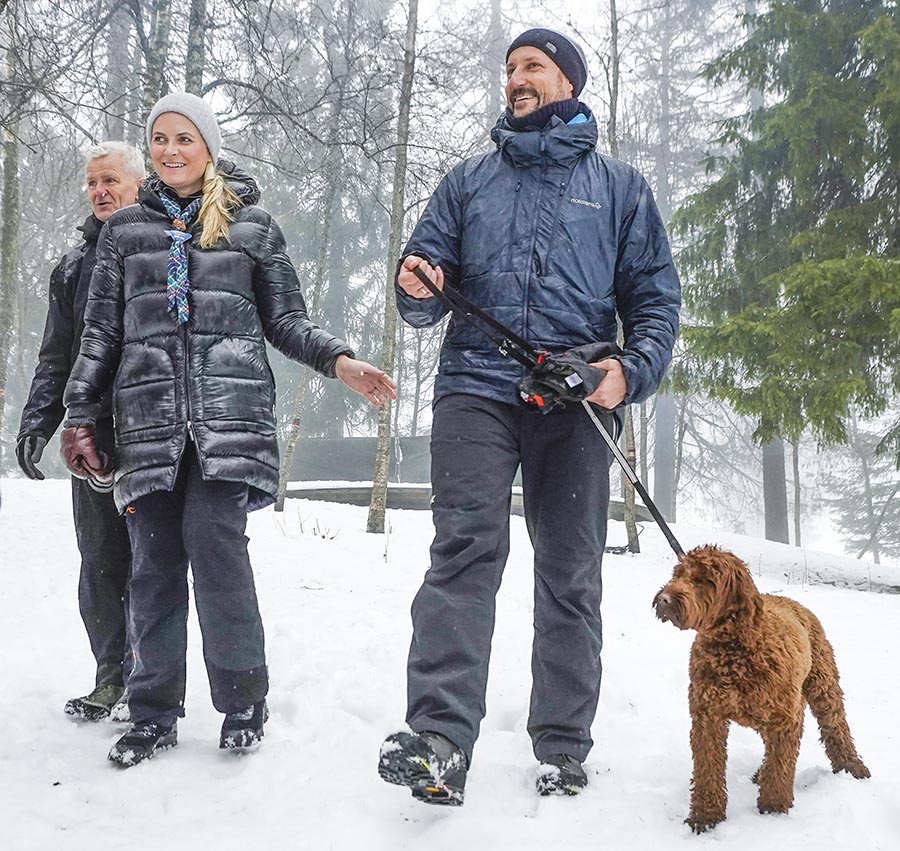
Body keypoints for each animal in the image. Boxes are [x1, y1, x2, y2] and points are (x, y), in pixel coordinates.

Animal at [652, 544, 872, 832]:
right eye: (678, 573)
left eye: (704, 580)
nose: (663, 599)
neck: (735, 648)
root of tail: (795, 603)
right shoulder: (707, 717)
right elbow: (708, 768)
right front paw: (706, 816)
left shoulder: (785, 717)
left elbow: (780, 765)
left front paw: (774, 807)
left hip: (822, 687)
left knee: (835, 727)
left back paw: (852, 767)